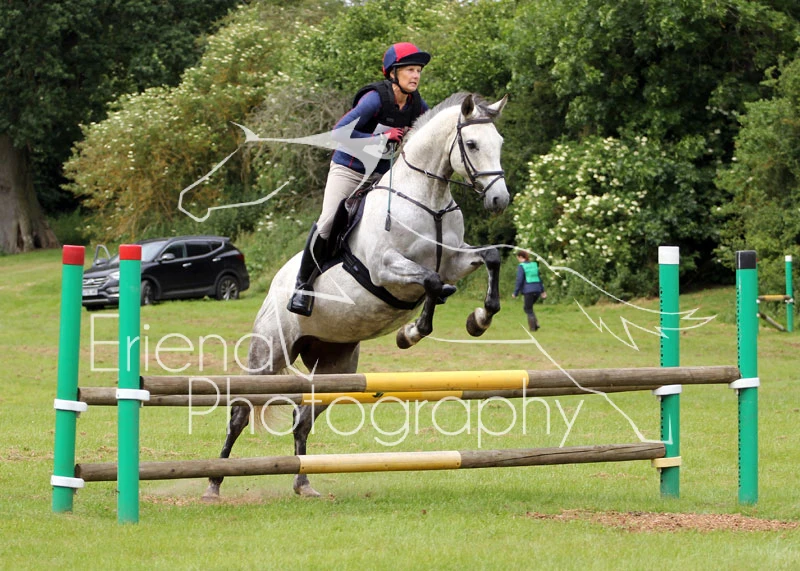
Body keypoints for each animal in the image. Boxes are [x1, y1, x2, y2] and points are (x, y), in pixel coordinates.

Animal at [203, 92, 510, 499]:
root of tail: (273, 291)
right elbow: (433, 283)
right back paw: (214, 483)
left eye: (499, 143)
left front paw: (478, 320)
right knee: (239, 413)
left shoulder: (455, 260)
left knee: (303, 419)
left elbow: (484, 262)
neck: (426, 198)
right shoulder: (385, 269)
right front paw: (412, 332)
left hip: (335, 367)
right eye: (472, 144)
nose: (500, 200)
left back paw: (304, 483)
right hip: (268, 353)